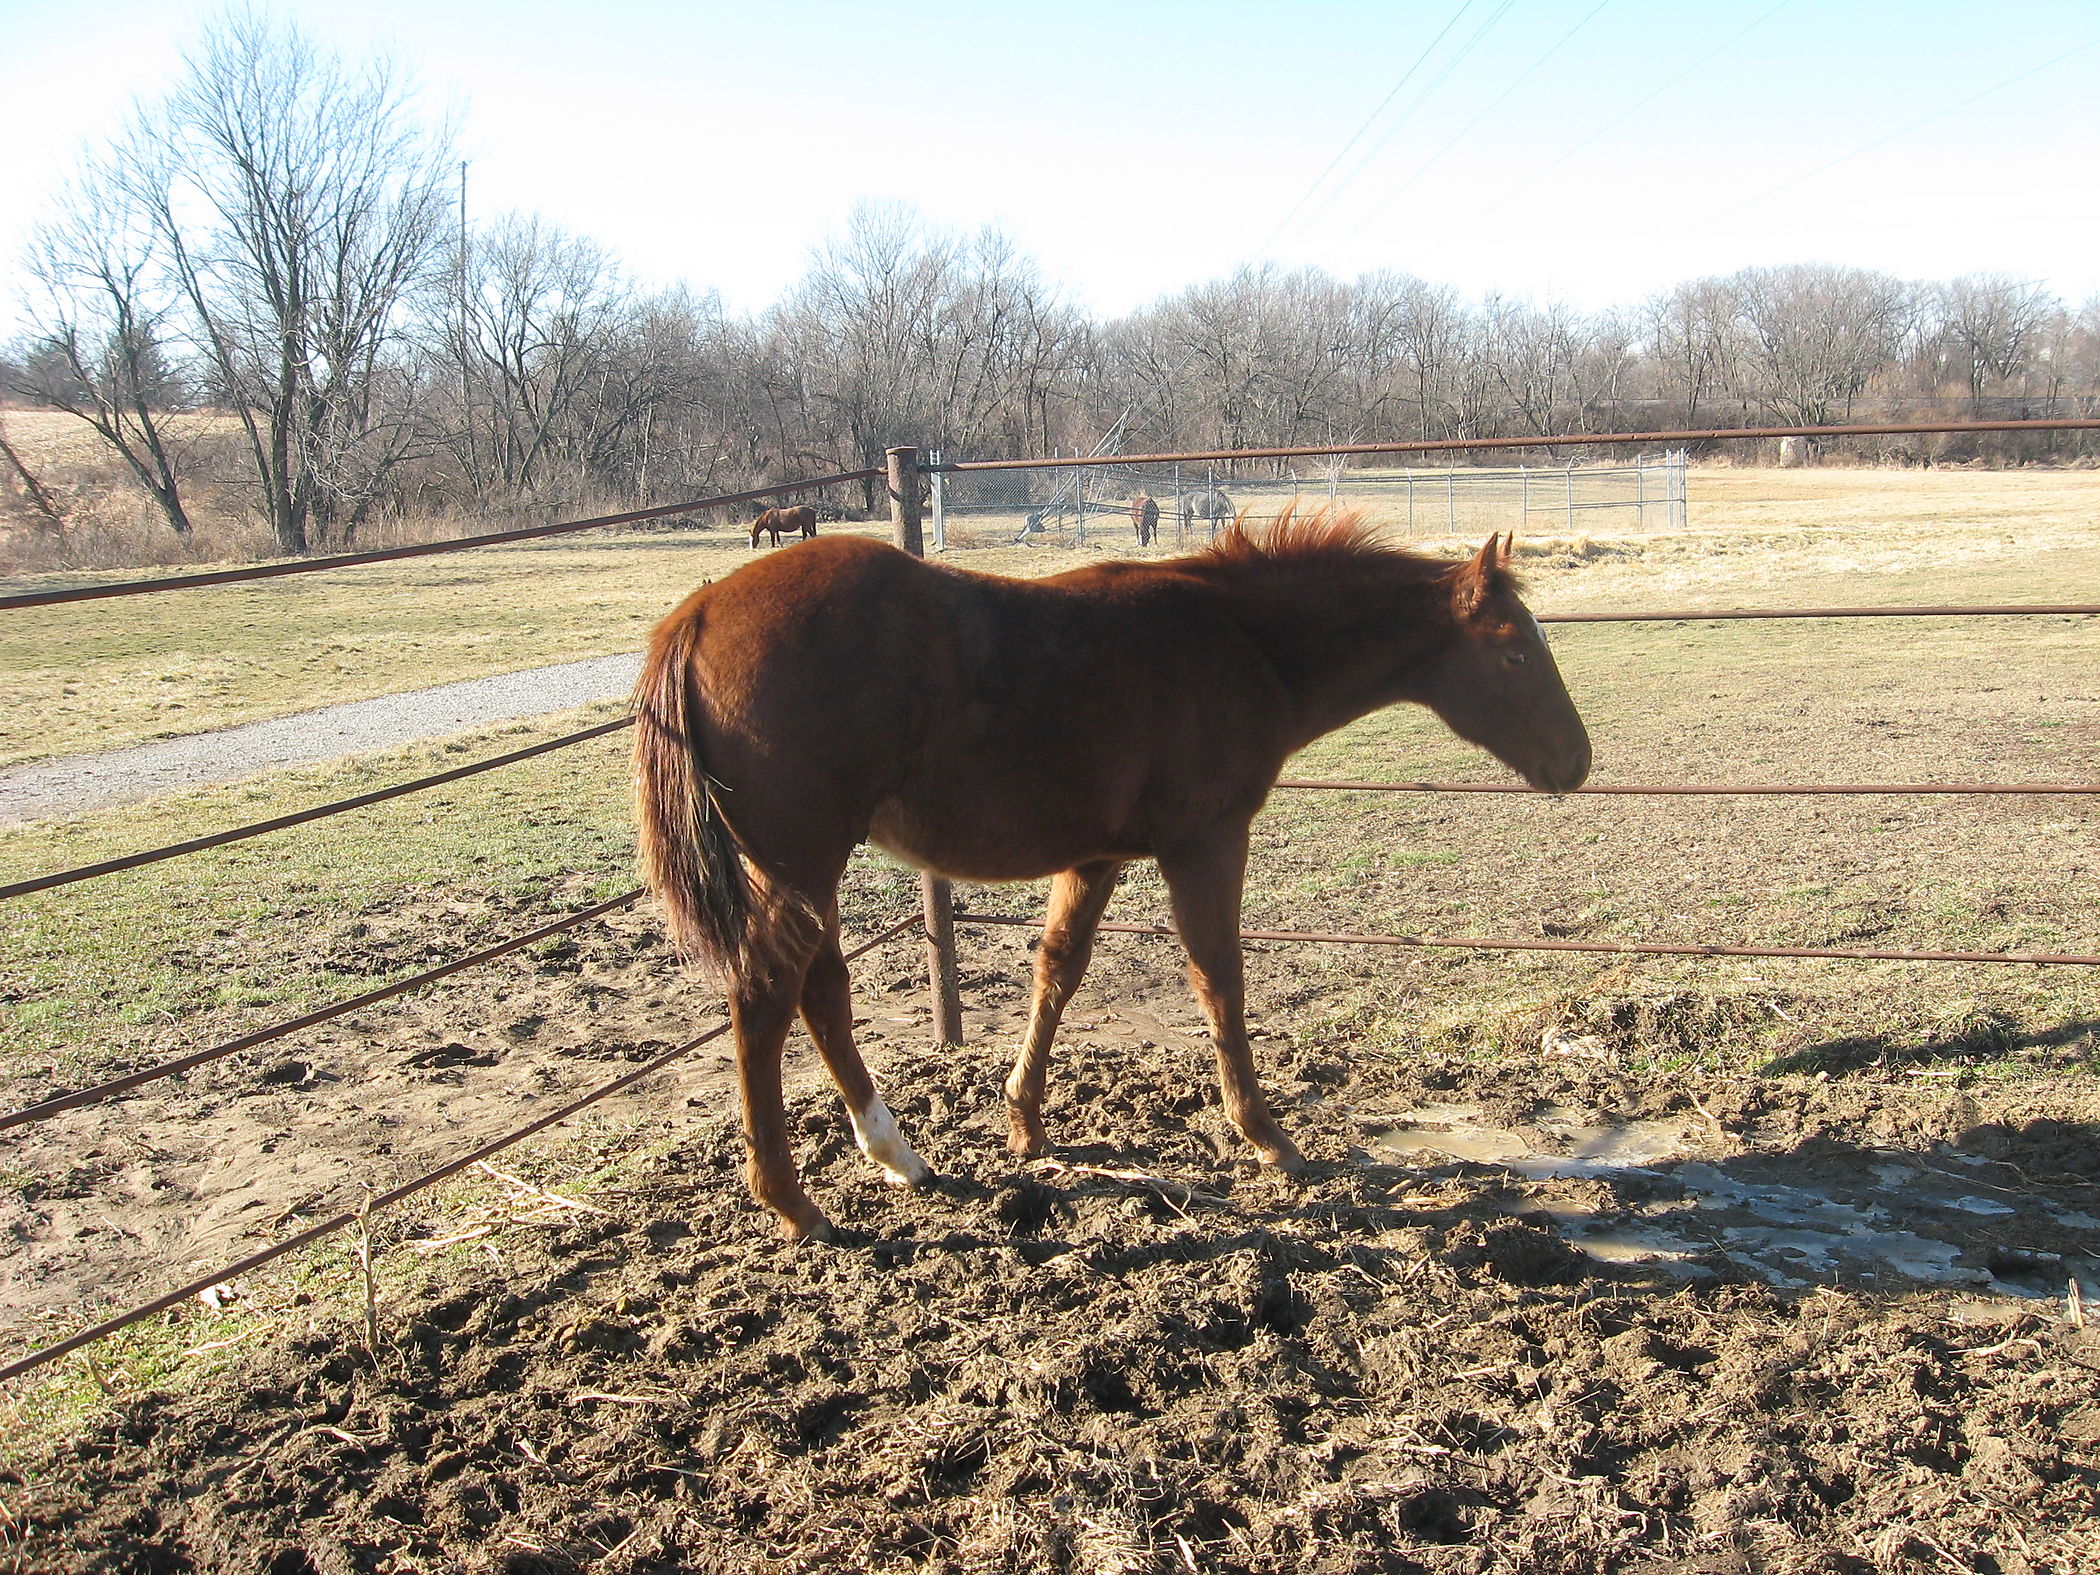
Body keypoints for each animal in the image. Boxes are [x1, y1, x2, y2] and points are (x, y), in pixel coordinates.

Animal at [633, 505, 1590, 1240]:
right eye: (1515, 653)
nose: (1577, 763)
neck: (1242, 642)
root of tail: (699, 613)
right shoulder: (1206, 841)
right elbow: (1220, 980)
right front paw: (1266, 1135)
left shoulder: (1094, 855)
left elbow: (1057, 971)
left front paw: (1024, 1121)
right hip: (803, 857)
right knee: (767, 992)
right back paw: (794, 1203)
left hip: (802, 867)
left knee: (819, 990)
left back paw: (899, 1156)